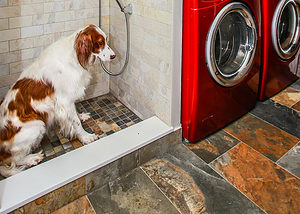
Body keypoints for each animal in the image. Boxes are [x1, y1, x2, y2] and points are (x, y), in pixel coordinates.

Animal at [0, 23, 115, 177]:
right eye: (101, 42)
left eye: (106, 40)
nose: (114, 56)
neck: (74, 56)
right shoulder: (65, 100)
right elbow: (76, 123)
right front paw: (86, 137)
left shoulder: (69, 98)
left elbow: (75, 115)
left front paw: (82, 116)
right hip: (38, 125)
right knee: (14, 159)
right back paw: (31, 158)